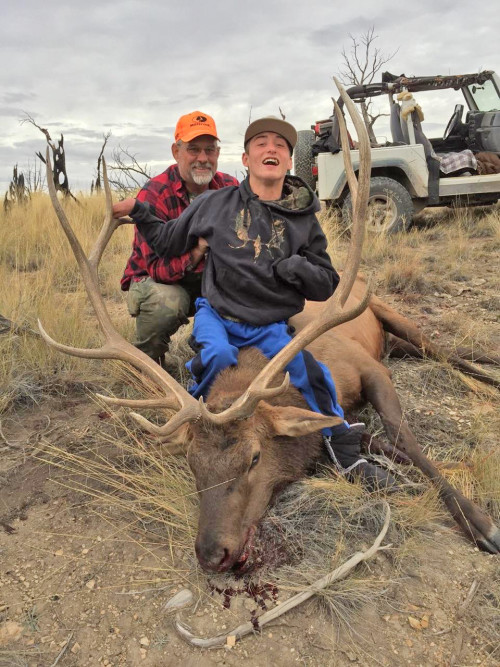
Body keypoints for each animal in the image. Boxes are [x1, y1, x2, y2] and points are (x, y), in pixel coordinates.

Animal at [39, 81, 500, 581]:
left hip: (390, 313)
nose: (212, 553)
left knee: (441, 350)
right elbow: (364, 436)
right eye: (192, 462)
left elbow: (403, 438)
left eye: (255, 457)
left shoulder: (367, 368)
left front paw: (482, 524)